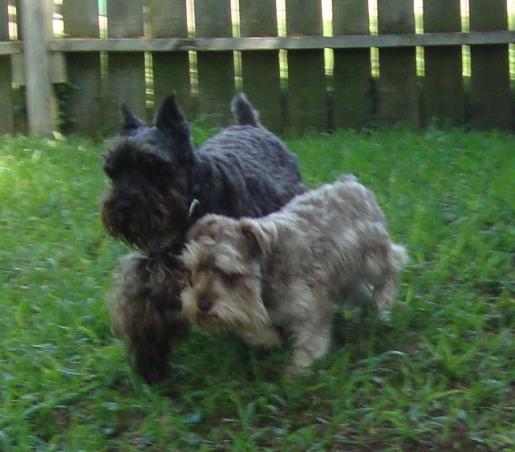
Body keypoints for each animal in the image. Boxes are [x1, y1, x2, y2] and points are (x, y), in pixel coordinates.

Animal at [105, 94, 306, 382]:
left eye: (153, 166)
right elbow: (143, 311)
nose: (122, 207)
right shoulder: (152, 275)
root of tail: (248, 123)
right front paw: (150, 364)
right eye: (112, 171)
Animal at [180, 175, 408, 372]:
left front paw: (296, 373)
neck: (267, 273)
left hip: (373, 258)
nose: (202, 304)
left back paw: (383, 300)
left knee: (393, 264)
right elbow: (257, 330)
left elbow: (310, 342)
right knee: (364, 293)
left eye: (229, 274)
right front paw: (271, 340)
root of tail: (351, 183)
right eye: (195, 270)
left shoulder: (312, 306)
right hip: (349, 282)